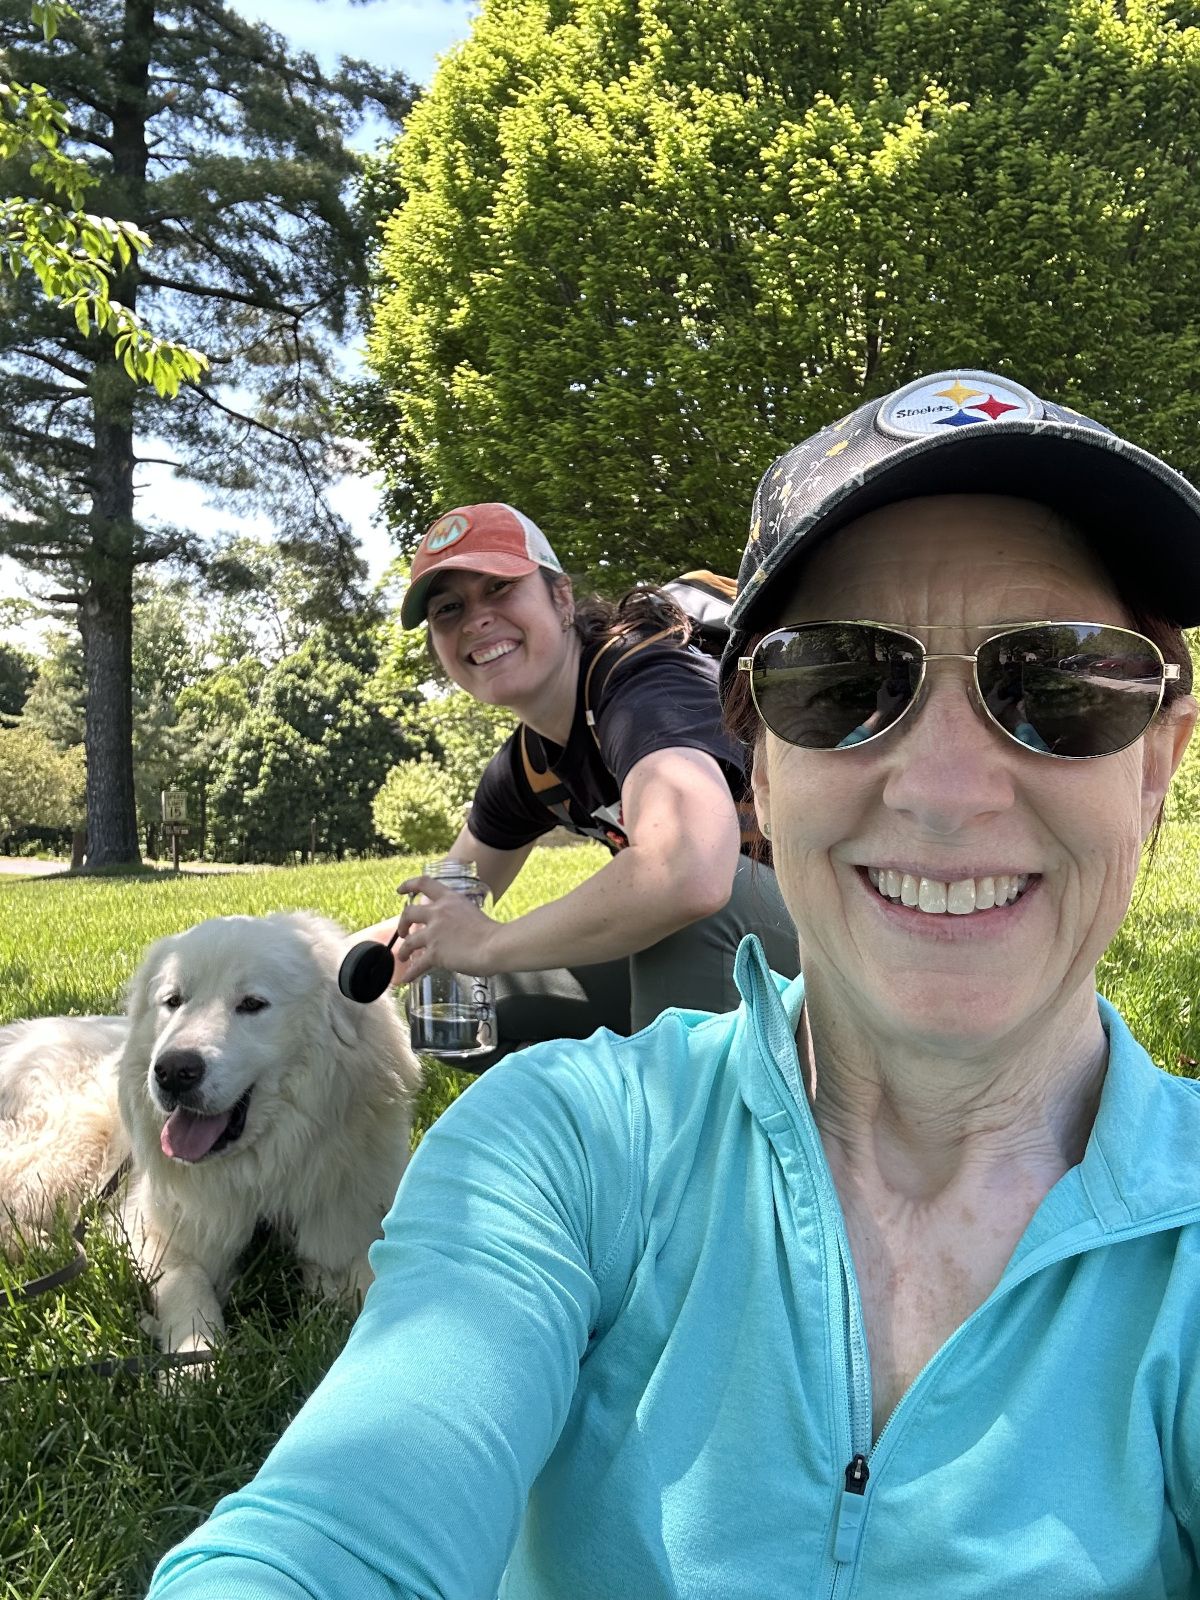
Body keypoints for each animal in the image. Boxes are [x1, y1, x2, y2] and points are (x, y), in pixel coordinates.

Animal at [0, 915, 422, 1350]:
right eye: (174, 1001)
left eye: (252, 1004)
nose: (172, 1072)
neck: (263, 1176)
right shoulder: (153, 1230)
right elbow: (188, 1287)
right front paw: (195, 1356)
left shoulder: (349, 1222)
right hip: (68, 1146)